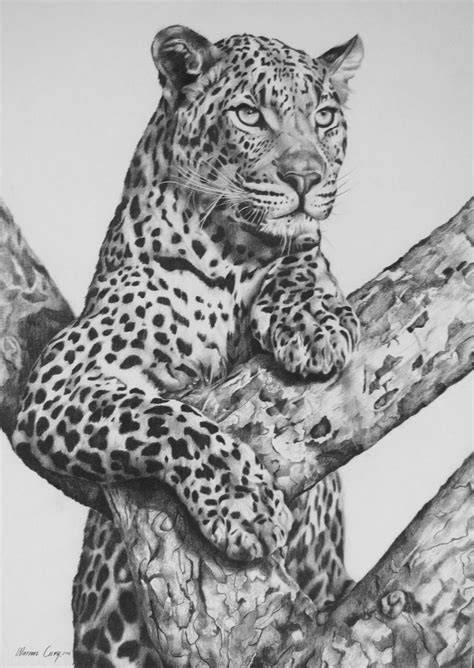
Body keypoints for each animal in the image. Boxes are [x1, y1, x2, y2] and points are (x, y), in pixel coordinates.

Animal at [13, 25, 363, 667]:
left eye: (325, 117)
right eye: (249, 114)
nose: (306, 178)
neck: (232, 250)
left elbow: (305, 247)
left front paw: (313, 316)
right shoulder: (59, 381)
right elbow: (167, 419)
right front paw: (244, 502)